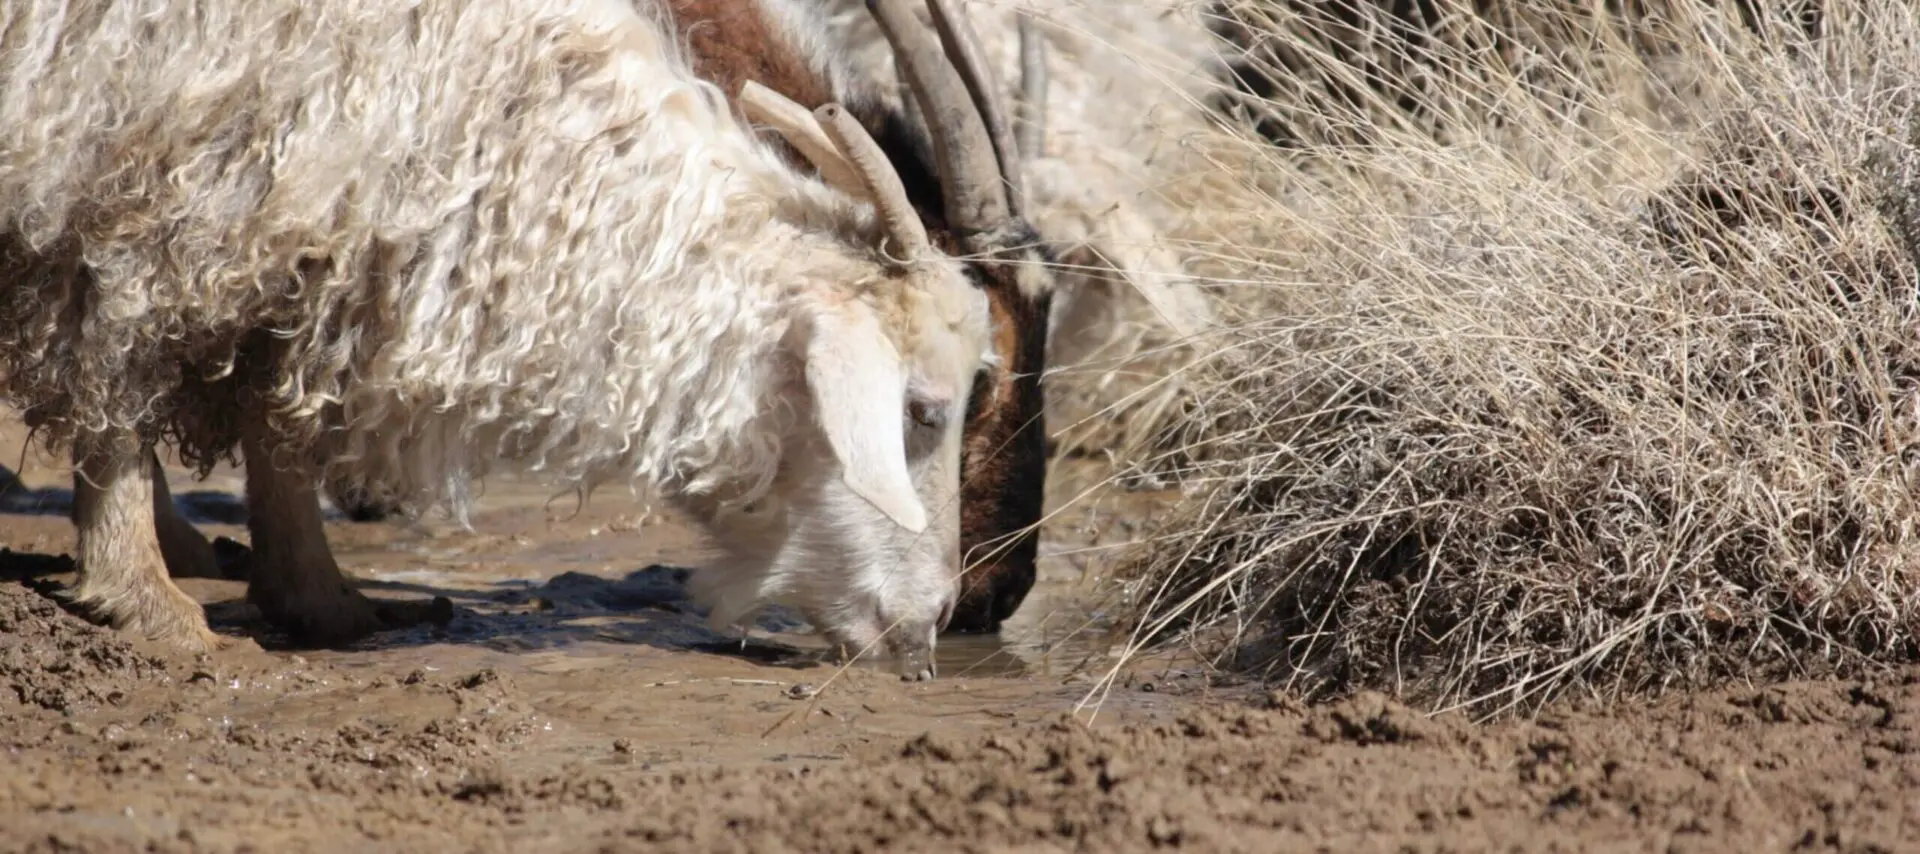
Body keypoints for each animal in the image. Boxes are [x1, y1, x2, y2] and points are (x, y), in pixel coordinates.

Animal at [0, 0, 1021, 679]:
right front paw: (148, 603)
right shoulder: (151, 180)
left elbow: (274, 404)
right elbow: (121, 362)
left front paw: (325, 601)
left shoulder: (302, 226)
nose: (938, 617)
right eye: (924, 411)